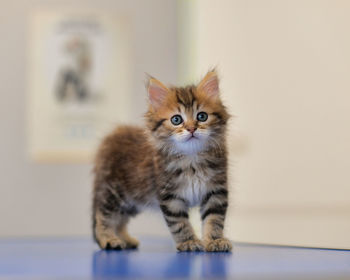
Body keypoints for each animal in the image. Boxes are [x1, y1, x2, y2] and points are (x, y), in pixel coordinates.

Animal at [91, 69, 231, 252]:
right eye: (176, 120)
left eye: (202, 116)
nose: (191, 129)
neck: (191, 158)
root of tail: (110, 138)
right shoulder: (170, 196)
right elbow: (180, 223)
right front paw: (189, 242)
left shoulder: (216, 192)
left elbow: (214, 220)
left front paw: (215, 240)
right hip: (113, 193)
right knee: (103, 216)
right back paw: (108, 239)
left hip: (133, 200)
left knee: (120, 220)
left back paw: (125, 239)